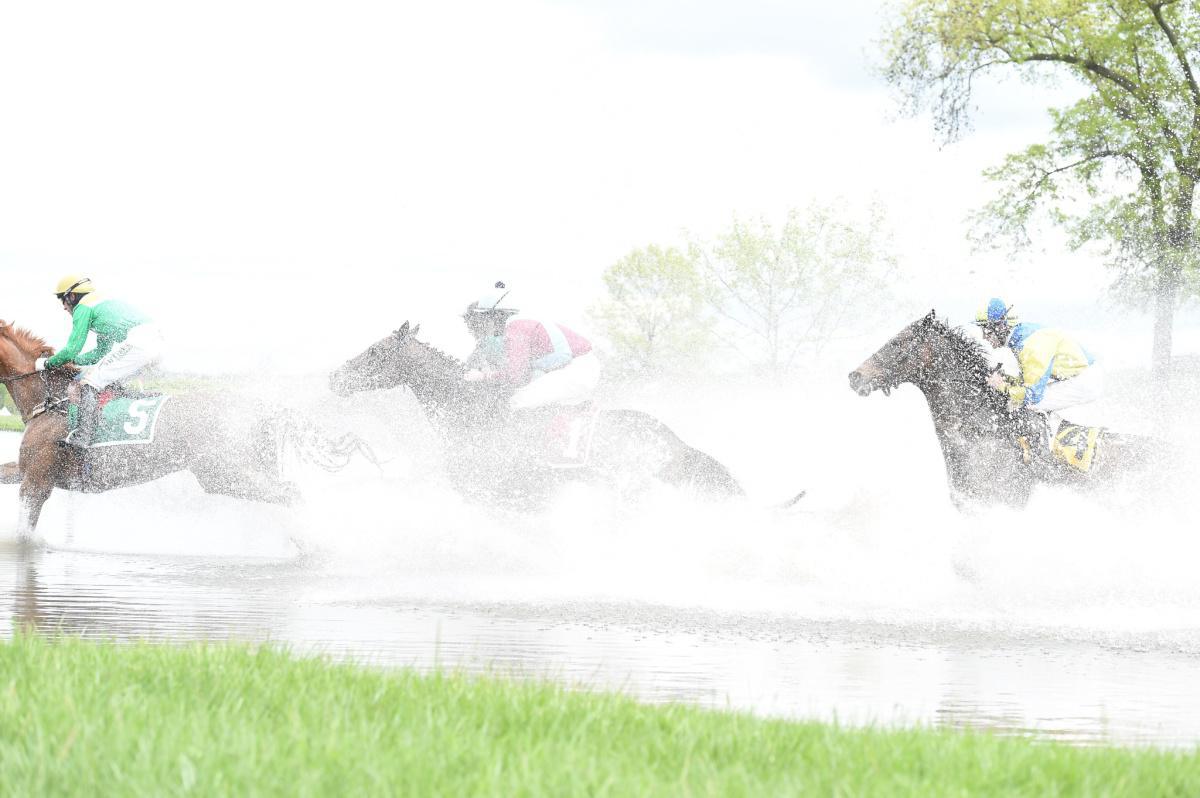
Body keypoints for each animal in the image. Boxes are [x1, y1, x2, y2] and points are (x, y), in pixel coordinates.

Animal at [0, 321, 355, 537]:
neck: (50, 400)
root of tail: (262, 408)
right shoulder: (27, 471)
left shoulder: (37, 481)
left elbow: (25, 533)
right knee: (287, 494)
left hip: (224, 472)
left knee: (290, 493)